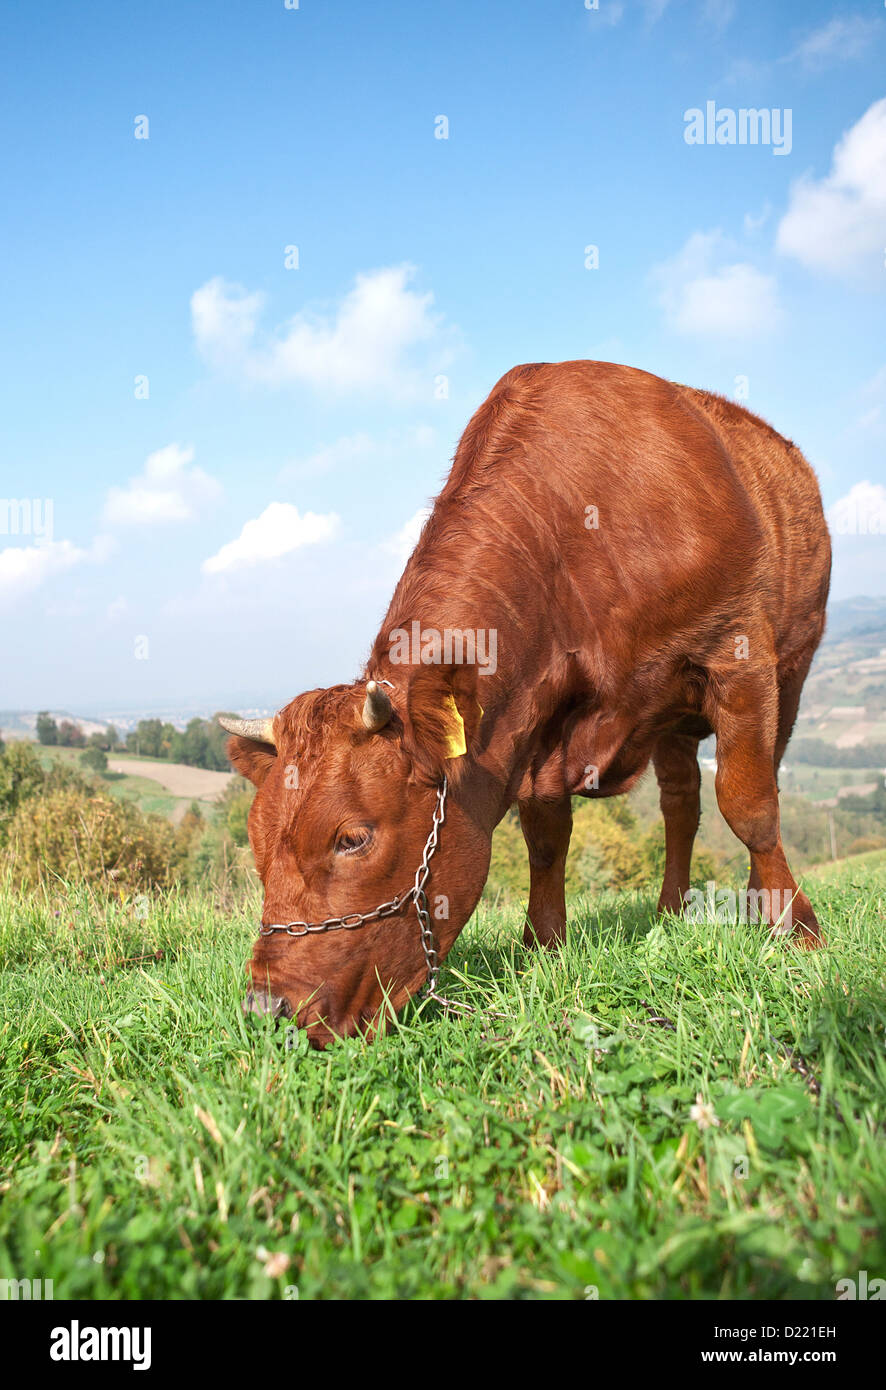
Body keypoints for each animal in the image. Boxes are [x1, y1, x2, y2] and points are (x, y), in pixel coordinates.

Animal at [221, 360, 832, 1048]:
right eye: (256, 839)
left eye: (352, 838)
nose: (265, 1009)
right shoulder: (538, 715)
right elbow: (546, 834)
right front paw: (542, 944)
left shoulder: (737, 653)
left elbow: (751, 805)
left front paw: (795, 927)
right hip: (673, 723)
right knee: (681, 803)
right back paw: (671, 909)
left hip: (790, 670)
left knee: (749, 783)